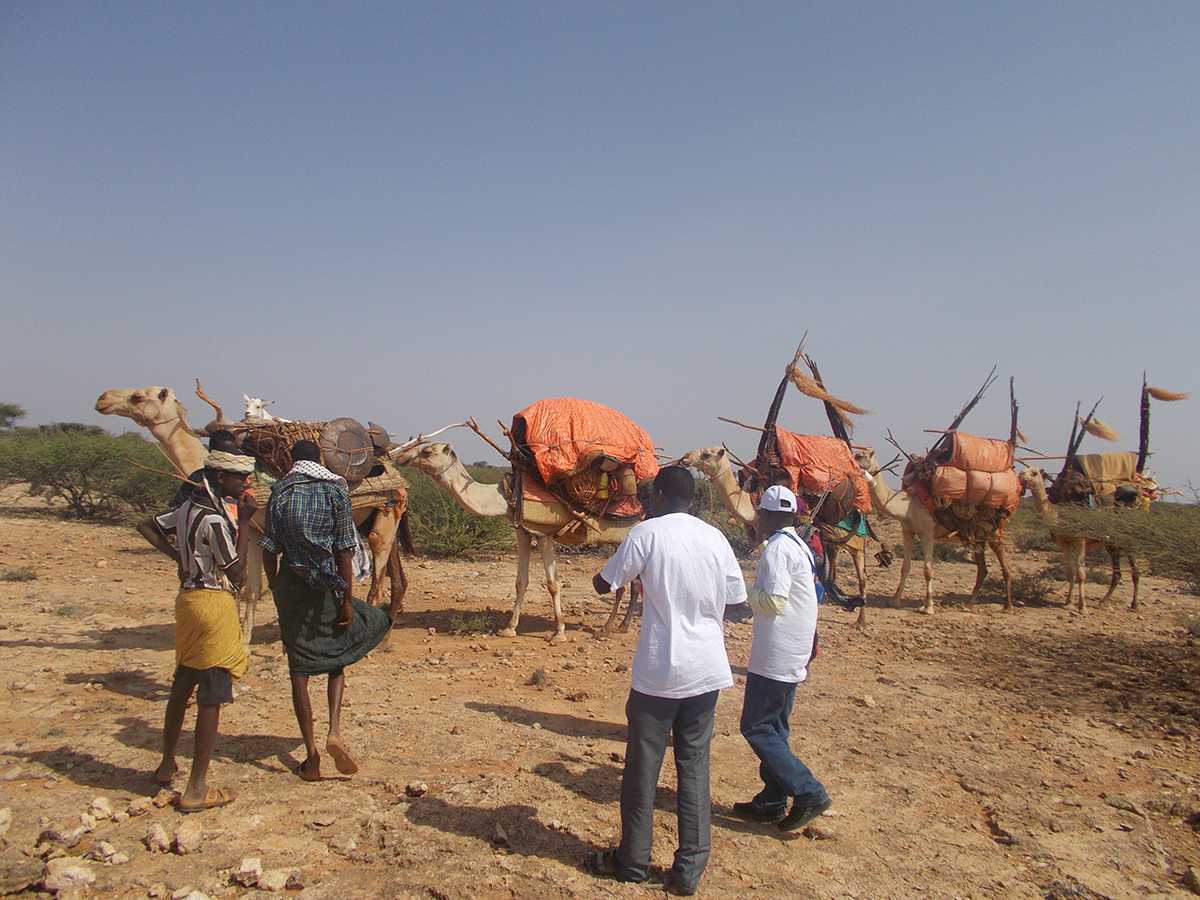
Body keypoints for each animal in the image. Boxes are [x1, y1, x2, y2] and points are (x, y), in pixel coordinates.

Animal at [92, 386, 408, 643]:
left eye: (138, 396)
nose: (102, 398)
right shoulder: (256, 532)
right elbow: (253, 588)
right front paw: (244, 640)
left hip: (384, 519)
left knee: (378, 576)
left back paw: (377, 635)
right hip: (372, 519)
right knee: (391, 574)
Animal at [391, 441, 638, 643]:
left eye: (427, 451)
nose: (401, 457)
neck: (508, 495)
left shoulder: (544, 534)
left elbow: (553, 584)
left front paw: (558, 633)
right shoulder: (523, 532)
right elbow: (521, 582)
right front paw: (509, 629)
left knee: (624, 585)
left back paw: (606, 629)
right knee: (633, 584)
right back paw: (622, 626)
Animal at [681, 446, 868, 619]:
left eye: (706, 454)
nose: (685, 458)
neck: (752, 506)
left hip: (856, 546)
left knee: (861, 579)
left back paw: (860, 620)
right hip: (832, 544)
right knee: (833, 574)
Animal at [854, 448, 1012, 619]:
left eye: (860, 455)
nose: (851, 460)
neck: (907, 505)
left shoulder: (928, 533)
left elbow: (928, 570)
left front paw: (928, 607)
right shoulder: (907, 531)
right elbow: (905, 567)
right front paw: (895, 601)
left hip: (994, 532)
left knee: (1005, 566)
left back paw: (1007, 606)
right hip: (978, 537)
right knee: (982, 569)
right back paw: (969, 604)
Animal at [1017, 472, 1137, 614]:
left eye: (1034, 473)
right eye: (1024, 471)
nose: (1021, 475)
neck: (1057, 517)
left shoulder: (1080, 540)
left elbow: (1081, 574)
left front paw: (1083, 607)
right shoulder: (1064, 542)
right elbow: (1070, 572)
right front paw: (1068, 602)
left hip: (1124, 541)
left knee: (1132, 570)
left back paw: (1132, 604)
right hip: (1112, 544)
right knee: (1118, 573)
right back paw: (1106, 602)